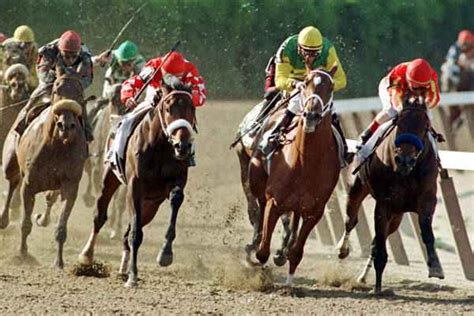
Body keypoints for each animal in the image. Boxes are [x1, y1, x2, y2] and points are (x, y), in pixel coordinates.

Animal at [0, 71, 86, 270]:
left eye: (80, 92)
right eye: (56, 90)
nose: (66, 125)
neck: (57, 146)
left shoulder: (70, 186)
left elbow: (61, 226)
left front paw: (59, 262)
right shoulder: (29, 185)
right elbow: (25, 223)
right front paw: (23, 254)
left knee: (49, 197)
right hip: (10, 162)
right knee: (12, 182)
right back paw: (3, 219)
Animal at [79, 79, 196, 286]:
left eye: (192, 108)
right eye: (168, 108)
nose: (182, 146)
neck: (159, 147)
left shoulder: (175, 181)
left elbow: (175, 199)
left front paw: (165, 253)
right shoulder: (135, 187)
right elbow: (135, 234)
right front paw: (133, 275)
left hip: (151, 204)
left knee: (130, 231)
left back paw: (122, 268)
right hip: (109, 178)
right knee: (100, 215)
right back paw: (87, 255)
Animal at [248, 67, 340, 286]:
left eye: (331, 86)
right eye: (305, 83)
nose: (312, 115)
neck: (306, 161)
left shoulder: (314, 212)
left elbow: (297, 252)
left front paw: (289, 284)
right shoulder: (275, 202)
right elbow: (263, 252)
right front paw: (262, 273)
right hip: (257, 182)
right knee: (259, 211)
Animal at [336, 97, 444, 296]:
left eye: (425, 127)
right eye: (398, 123)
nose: (405, 160)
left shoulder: (427, 200)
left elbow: (426, 232)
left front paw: (435, 267)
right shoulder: (384, 204)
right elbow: (378, 245)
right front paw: (378, 287)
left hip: (397, 216)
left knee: (378, 239)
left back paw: (362, 277)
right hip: (357, 189)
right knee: (351, 221)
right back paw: (343, 250)